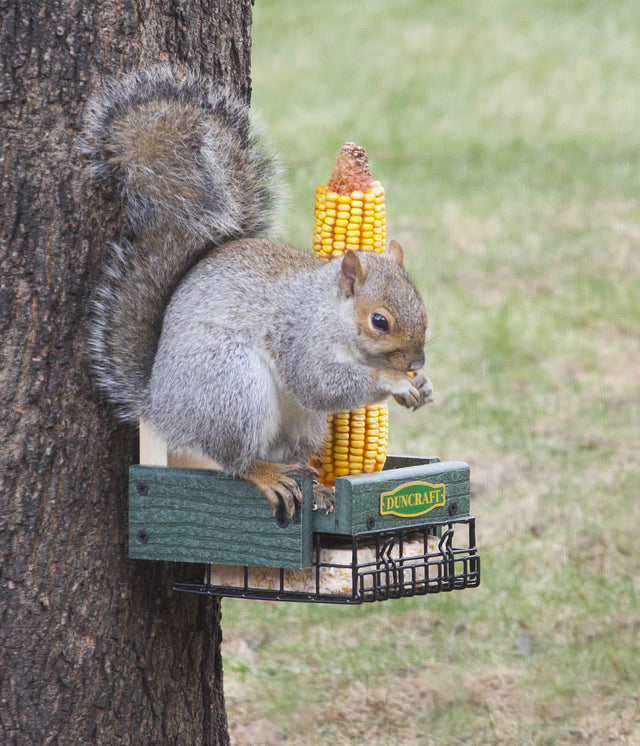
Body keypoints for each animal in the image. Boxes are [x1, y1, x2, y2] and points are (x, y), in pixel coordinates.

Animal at [82, 67, 432, 516]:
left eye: (423, 311)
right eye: (379, 321)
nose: (417, 362)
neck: (329, 310)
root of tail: (160, 406)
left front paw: (422, 386)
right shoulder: (299, 336)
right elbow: (318, 383)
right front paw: (393, 380)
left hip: (300, 422)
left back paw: (312, 481)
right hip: (233, 388)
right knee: (235, 458)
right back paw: (266, 474)